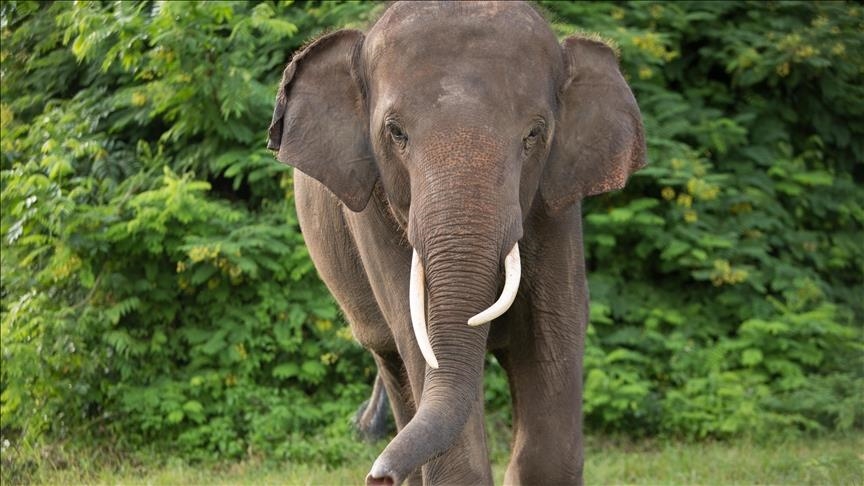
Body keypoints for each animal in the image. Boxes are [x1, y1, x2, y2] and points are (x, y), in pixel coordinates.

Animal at [267, 1, 645, 484]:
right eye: (396, 133)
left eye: (534, 134)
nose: (378, 476)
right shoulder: (372, 210)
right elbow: (417, 339)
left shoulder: (556, 207)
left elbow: (553, 332)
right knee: (392, 361)